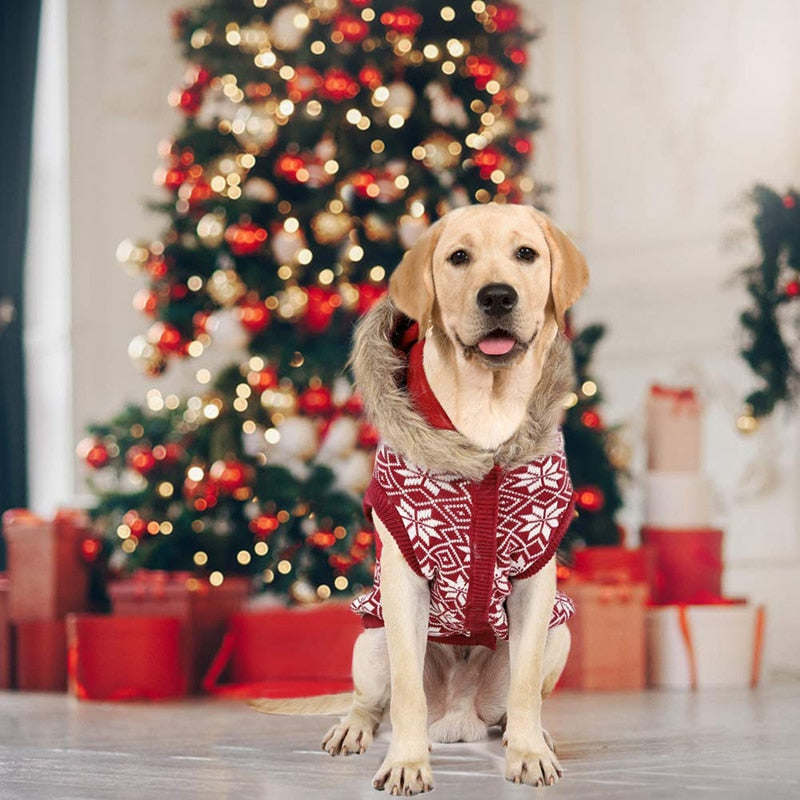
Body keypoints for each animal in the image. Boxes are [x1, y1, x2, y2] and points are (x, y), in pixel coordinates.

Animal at [253, 205, 592, 792]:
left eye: (526, 253)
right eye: (458, 257)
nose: (497, 296)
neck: (485, 413)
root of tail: (458, 719)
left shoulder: (535, 582)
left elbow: (525, 688)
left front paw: (528, 753)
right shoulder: (404, 581)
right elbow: (407, 692)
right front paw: (407, 763)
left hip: (559, 631)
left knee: (516, 705)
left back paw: (528, 735)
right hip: (370, 639)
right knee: (372, 702)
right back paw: (354, 729)